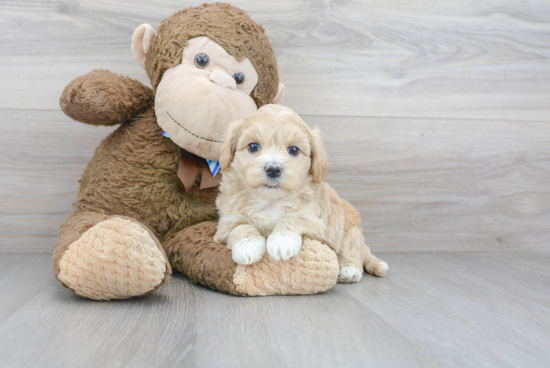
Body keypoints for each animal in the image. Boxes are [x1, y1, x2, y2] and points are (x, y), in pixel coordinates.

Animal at [213, 105, 390, 284]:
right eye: (253, 147)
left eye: (293, 150)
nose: (273, 169)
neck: (270, 200)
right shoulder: (225, 223)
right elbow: (240, 225)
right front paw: (248, 245)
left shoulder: (317, 223)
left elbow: (293, 218)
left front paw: (282, 240)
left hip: (350, 231)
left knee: (351, 252)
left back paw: (350, 270)